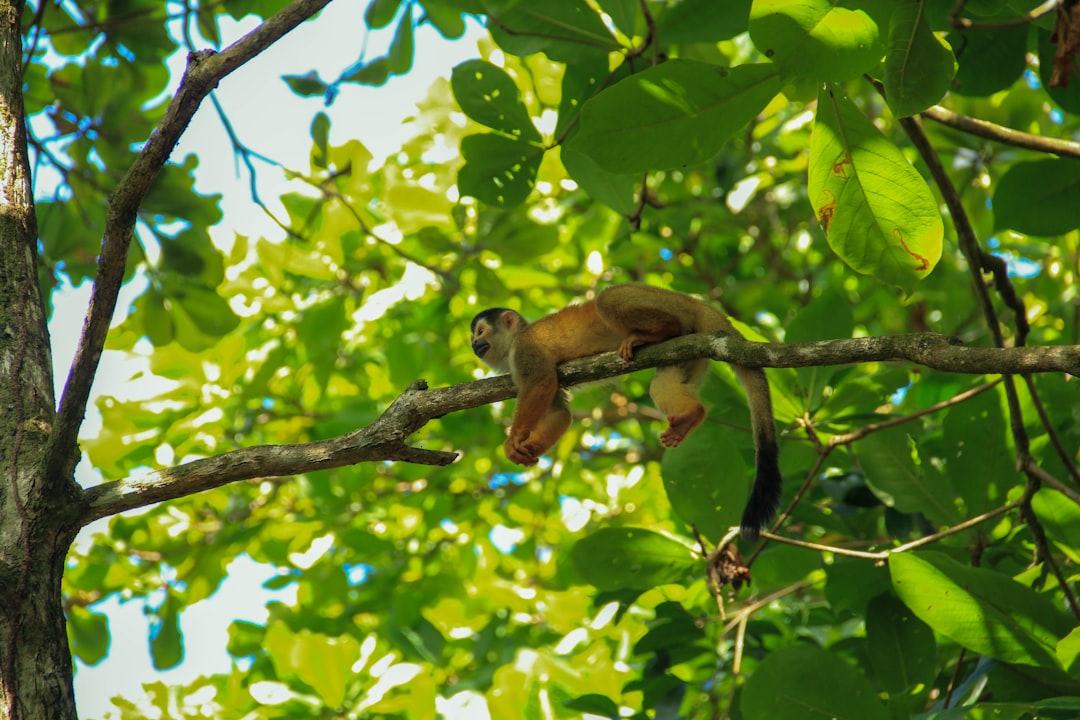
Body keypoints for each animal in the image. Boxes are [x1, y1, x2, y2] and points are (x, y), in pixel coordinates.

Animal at [468, 284, 781, 537]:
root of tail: (692, 301)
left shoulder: (524, 349)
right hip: (690, 350)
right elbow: (560, 413)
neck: (512, 345)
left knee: (608, 298)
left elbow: (542, 381)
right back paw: (691, 415)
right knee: (663, 384)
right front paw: (529, 448)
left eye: (480, 332)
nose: (473, 345)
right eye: (473, 337)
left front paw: (514, 439)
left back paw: (659, 331)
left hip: (662, 302)